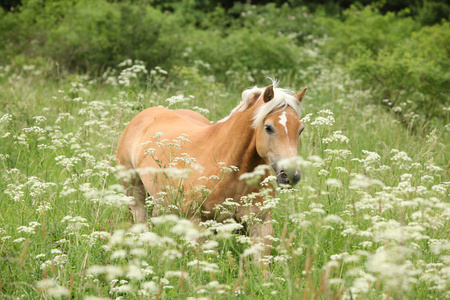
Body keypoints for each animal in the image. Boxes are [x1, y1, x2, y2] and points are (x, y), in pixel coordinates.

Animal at [116, 80, 306, 272]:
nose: (291, 175)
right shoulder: (196, 223)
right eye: (268, 127)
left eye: (300, 129)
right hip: (135, 193)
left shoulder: (261, 224)